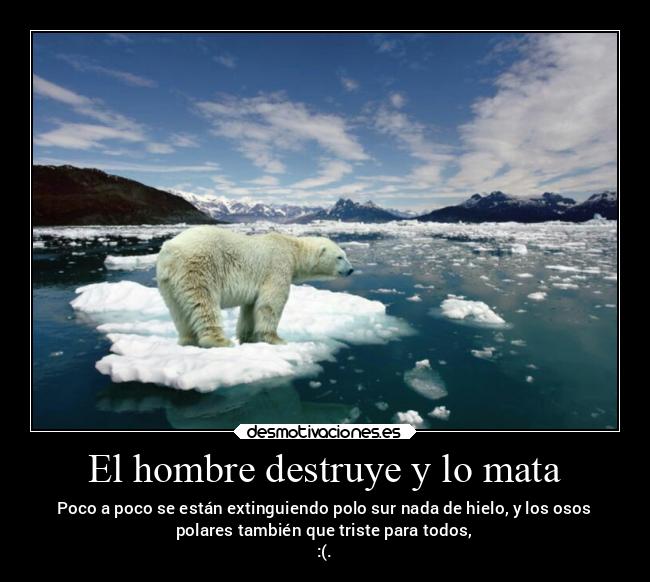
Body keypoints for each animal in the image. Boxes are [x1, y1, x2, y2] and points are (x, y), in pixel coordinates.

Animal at [156, 226, 354, 348]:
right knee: (204, 302)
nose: (351, 270)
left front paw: (248, 338)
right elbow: (271, 303)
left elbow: (250, 308)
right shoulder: (277, 267)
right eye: (340, 257)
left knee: (178, 310)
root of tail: (169, 251)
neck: (292, 248)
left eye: (345, 255)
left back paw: (187, 340)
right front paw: (276, 339)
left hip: (168, 282)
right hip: (199, 267)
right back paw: (219, 341)